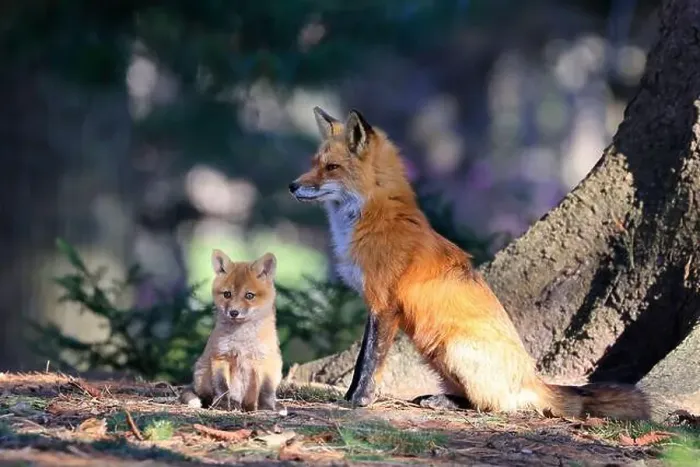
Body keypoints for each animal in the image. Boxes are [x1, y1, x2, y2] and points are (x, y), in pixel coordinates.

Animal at [179, 250, 283, 412]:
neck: (242, 340)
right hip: (202, 372)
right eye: (227, 294)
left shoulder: (266, 359)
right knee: (207, 396)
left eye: (249, 295)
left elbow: (266, 389)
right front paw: (222, 404)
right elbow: (222, 387)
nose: (234, 312)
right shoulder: (221, 356)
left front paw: (266, 408)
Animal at [287, 106, 651, 420]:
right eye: (314, 163)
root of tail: (534, 379)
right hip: (435, 354)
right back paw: (437, 398)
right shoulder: (372, 306)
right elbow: (363, 357)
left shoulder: (384, 305)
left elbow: (371, 362)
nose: (292, 185)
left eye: (331, 168)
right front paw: (348, 396)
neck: (375, 218)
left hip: (452, 348)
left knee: (491, 405)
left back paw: (446, 403)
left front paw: (361, 400)